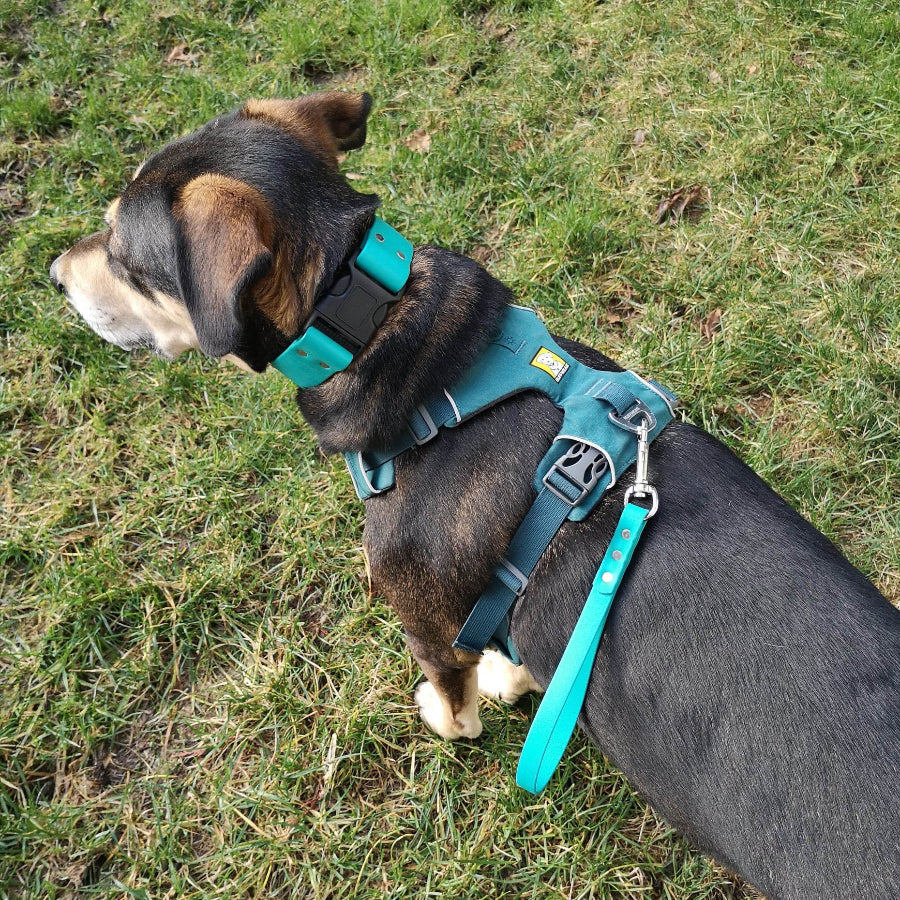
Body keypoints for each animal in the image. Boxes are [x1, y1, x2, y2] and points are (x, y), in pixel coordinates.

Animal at [49, 91, 900, 900]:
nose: (53, 274)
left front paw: (451, 719)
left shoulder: (422, 617)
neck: (394, 334)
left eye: (123, 255)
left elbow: (450, 691)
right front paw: (512, 674)